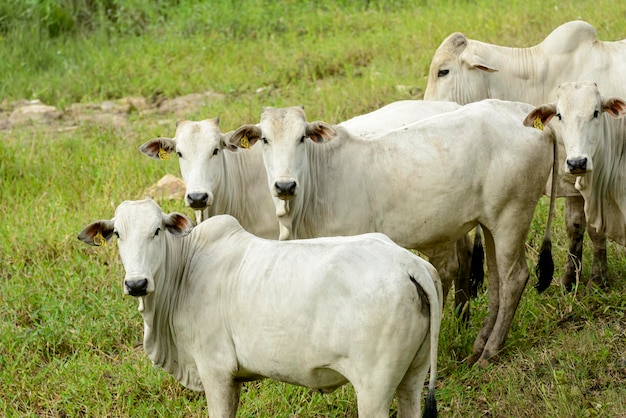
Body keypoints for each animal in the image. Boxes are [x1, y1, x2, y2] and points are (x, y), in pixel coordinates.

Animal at [78, 198, 442, 418]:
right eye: (118, 234)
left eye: (156, 231)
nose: (137, 284)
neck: (186, 266)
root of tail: (410, 264)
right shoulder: (234, 379)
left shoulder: (216, 370)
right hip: (412, 377)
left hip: (374, 388)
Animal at [225, 100, 556, 366]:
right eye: (265, 139)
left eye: (302, 137)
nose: (285, 185)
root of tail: (526, 113)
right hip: (491, 221)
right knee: (496, 277)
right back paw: (479, 346)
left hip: (512, 214)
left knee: (514, 278)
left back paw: (490, 352)